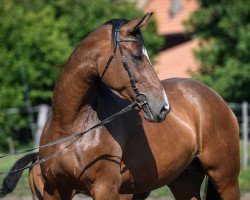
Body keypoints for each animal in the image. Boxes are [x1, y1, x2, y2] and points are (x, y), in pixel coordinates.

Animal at [0, 13, 239, 199]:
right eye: (137, 57)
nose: (163, 107)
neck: (71, 128)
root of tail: (215, 98)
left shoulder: (105, 189)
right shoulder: (55, 190)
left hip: (225, 177)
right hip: (183, 182)